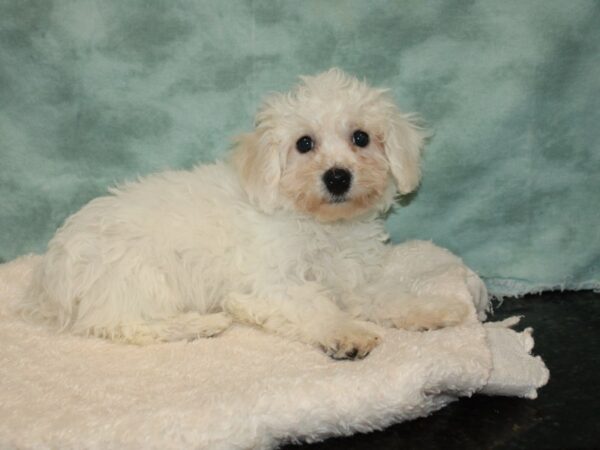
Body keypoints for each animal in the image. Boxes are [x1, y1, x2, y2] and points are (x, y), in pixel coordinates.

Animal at [19, 68, 488, 360]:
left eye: (361, 137)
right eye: (303, 144)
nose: (337, 177)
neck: (319, 225)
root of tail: (49, 281)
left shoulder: (352, 279)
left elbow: (384, 296)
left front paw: (432, 309)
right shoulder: (272, 282)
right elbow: (315, 307)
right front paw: (348, 333)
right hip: (141, 276)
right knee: (121, 325)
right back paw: (202, 324)